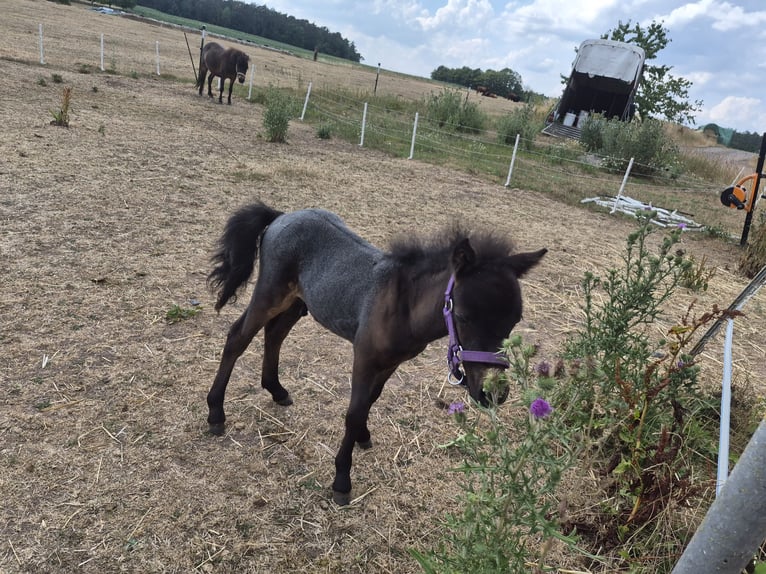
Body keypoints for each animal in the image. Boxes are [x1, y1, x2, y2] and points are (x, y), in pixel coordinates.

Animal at [206, 202, 546, 505]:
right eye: (463, 316)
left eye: (514, 322)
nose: (493, 393)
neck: (403, 307)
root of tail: (282, 215)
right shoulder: (365, 357)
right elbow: (354, 411)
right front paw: (342, 480)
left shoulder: (392, 362)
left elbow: (371, 400)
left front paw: (363, 436)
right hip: (270, 294)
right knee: (237, 338)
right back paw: (215, 413)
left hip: (297, 302)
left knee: (274, 335)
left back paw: (276, 390)